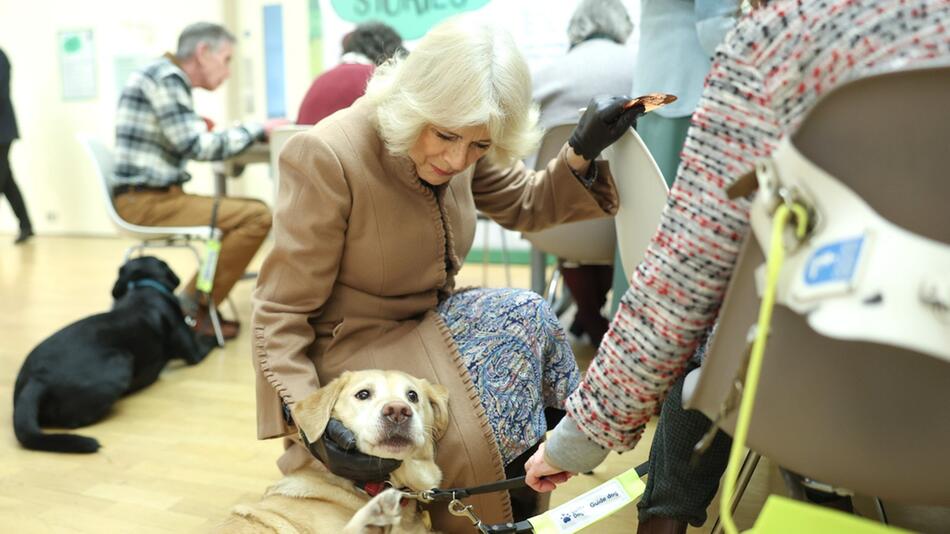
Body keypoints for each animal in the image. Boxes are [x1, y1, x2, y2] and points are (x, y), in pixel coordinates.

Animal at [12, 258, 214, 454]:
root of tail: (37, 379)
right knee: (73, 422)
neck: (143, 287)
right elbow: (205, 341)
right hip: (121, 363)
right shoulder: (194, 351)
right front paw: (215, 337)